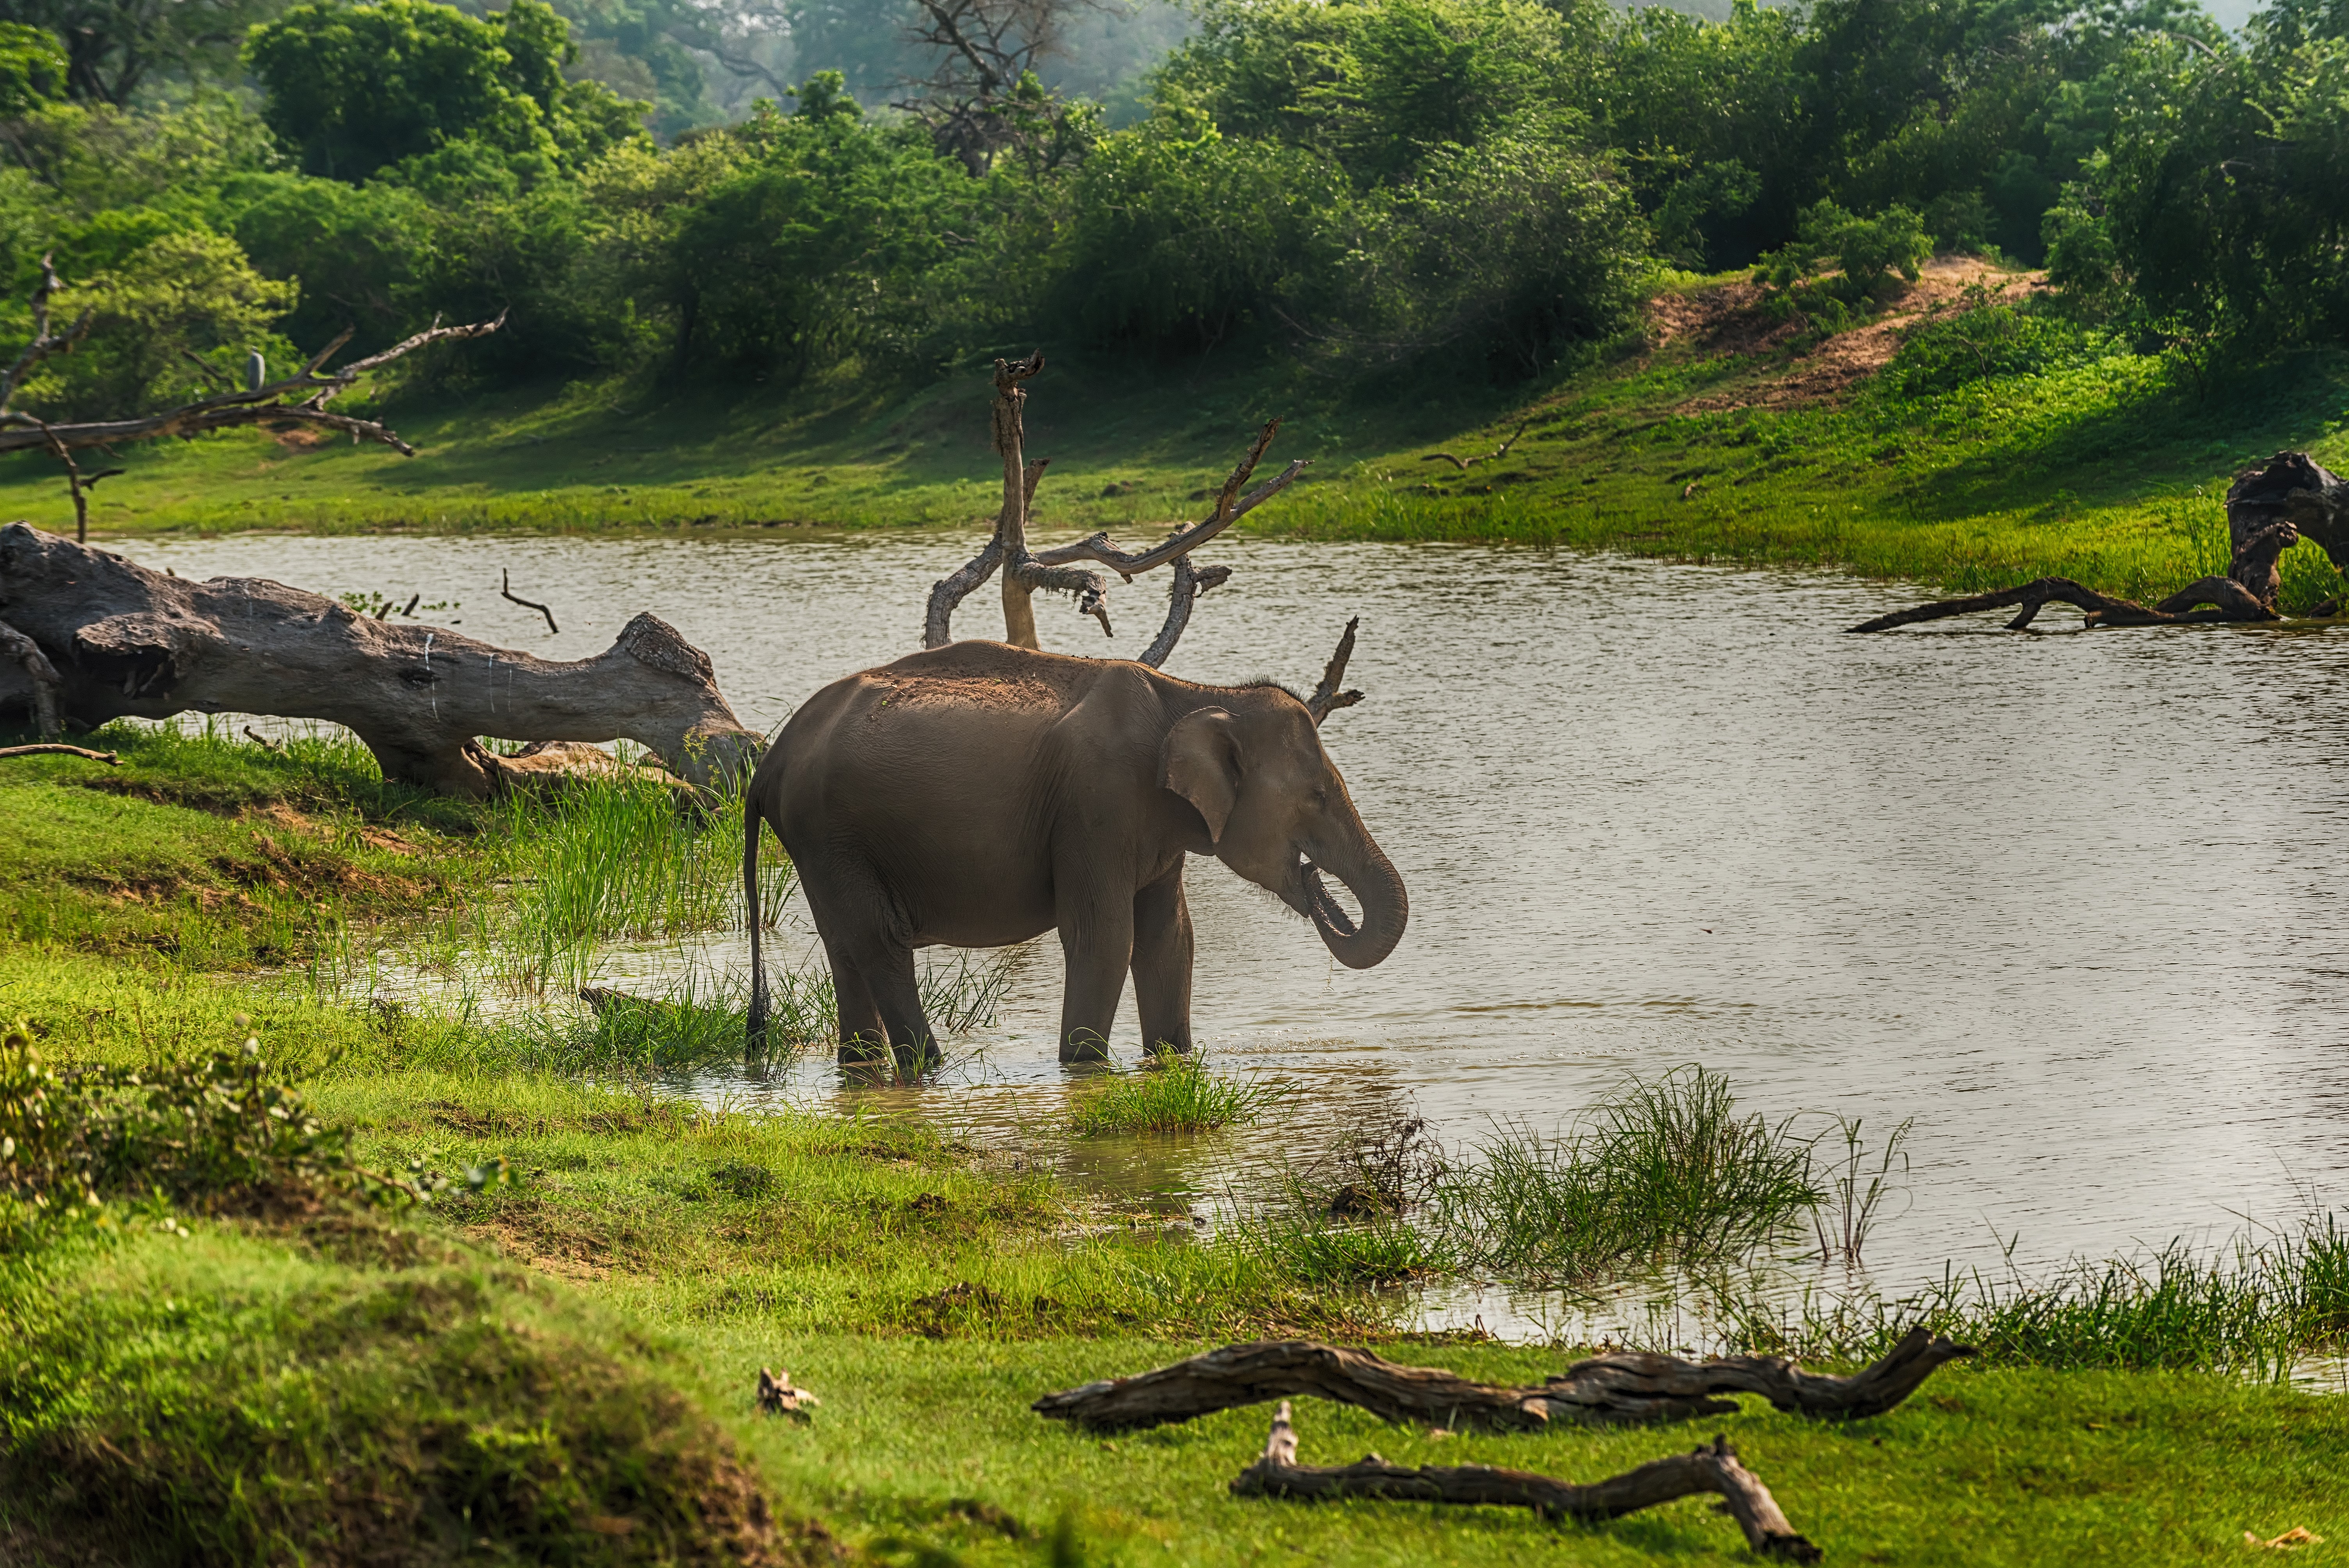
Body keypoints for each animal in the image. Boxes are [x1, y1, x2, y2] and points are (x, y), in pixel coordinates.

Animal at [741, 640, 1408, 1067]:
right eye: (1317, 797)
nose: (1317, 885)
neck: (1195, 694)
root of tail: (770, 761)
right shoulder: (1096, 805)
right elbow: (1104, 936)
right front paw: (1084, 1067)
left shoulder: (1158, 825)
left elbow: (1171, 939)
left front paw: (1171, 1061)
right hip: (831, 830)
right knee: (881, 942)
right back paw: (929, 1065)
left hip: (820, 843)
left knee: (846, 946)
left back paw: (865, 1069)